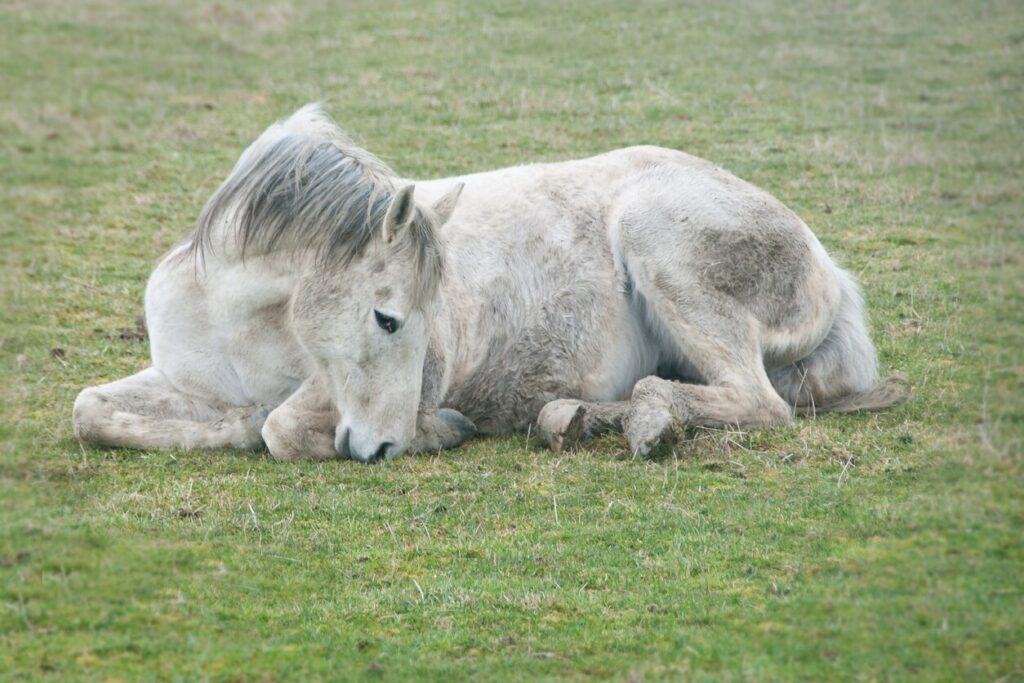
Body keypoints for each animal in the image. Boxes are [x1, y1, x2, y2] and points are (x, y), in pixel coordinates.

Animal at [73, 104, 908, 462]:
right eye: (387, 317)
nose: (381, 447)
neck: (234, 321)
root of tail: (827, 269)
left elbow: (281, 425)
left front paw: (439, 428)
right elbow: (91, 411)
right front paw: (227, 425)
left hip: (661, 243)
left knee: (756, 403)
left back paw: (638, 422)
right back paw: (581, 419)